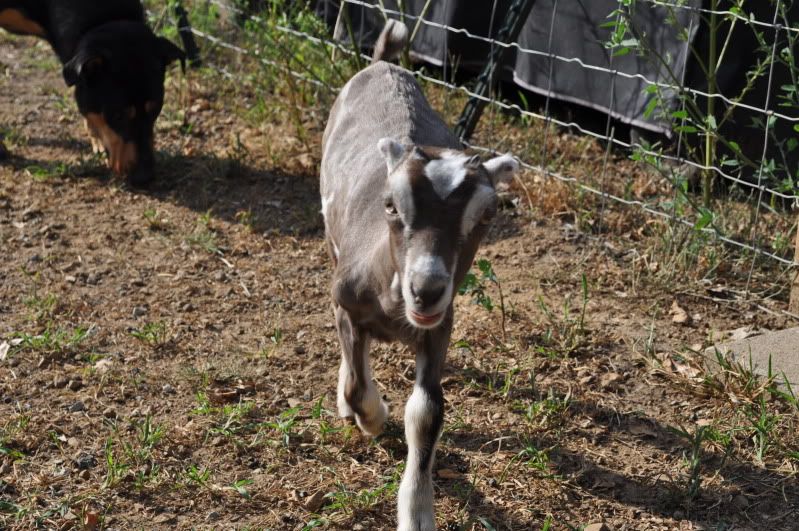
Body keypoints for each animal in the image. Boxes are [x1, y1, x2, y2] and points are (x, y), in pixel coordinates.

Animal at [320, 20, 519, 531]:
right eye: (390, 206)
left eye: (487, 215)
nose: (425, 290)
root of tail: (383, 63)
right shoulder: (346, 299)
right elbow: (356, 380)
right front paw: (371, 417)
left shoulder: (438, 331)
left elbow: (427, 414)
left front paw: (416, 512)